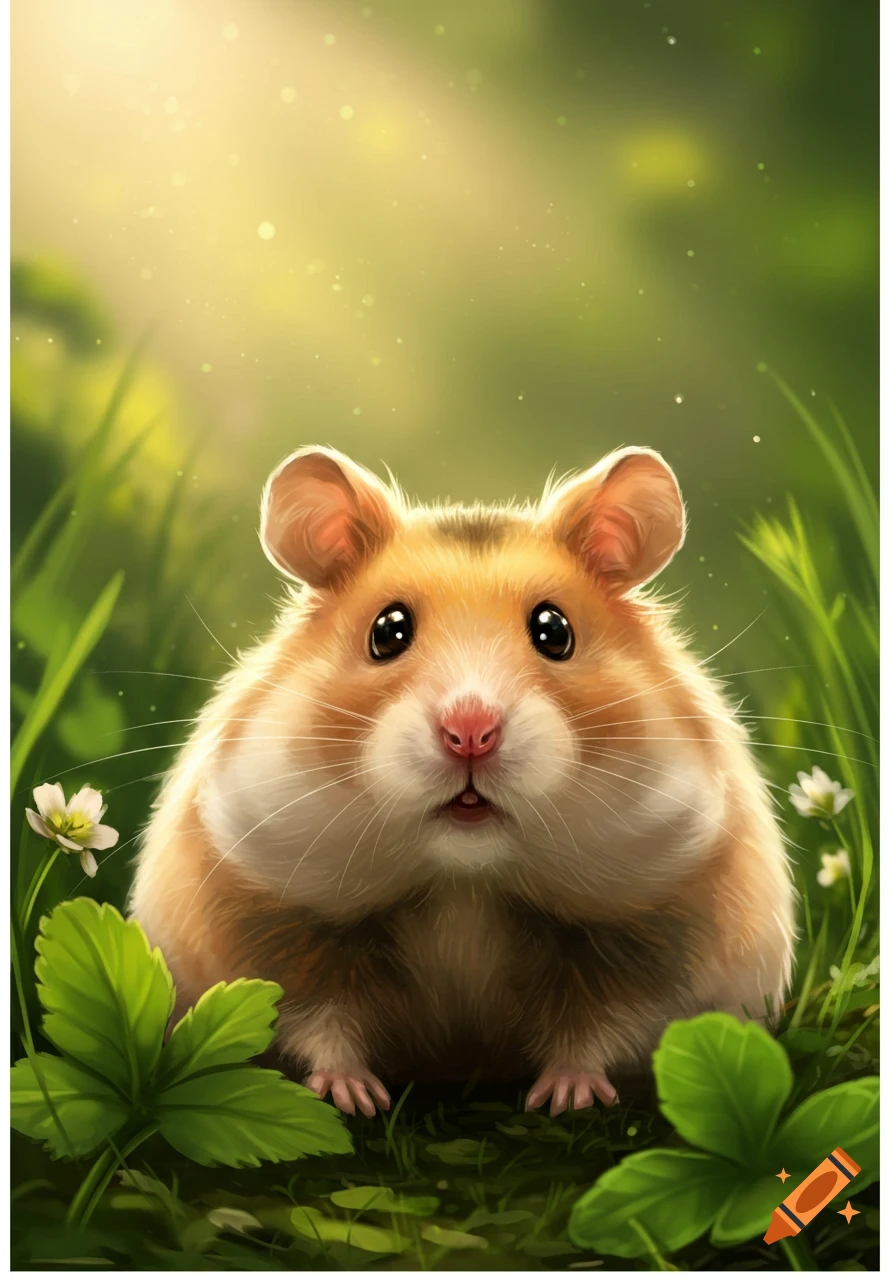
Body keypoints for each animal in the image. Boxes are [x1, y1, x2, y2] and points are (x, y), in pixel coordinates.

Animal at [129, 444, 795, 1119]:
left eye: (554, 630)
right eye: (388, 630)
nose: (470, 732)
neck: (465, 886)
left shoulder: (656, 942)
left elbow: (602, 1027)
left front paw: (565, 1097)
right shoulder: (273, 926)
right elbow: (316, 1020)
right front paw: (355, 1098)